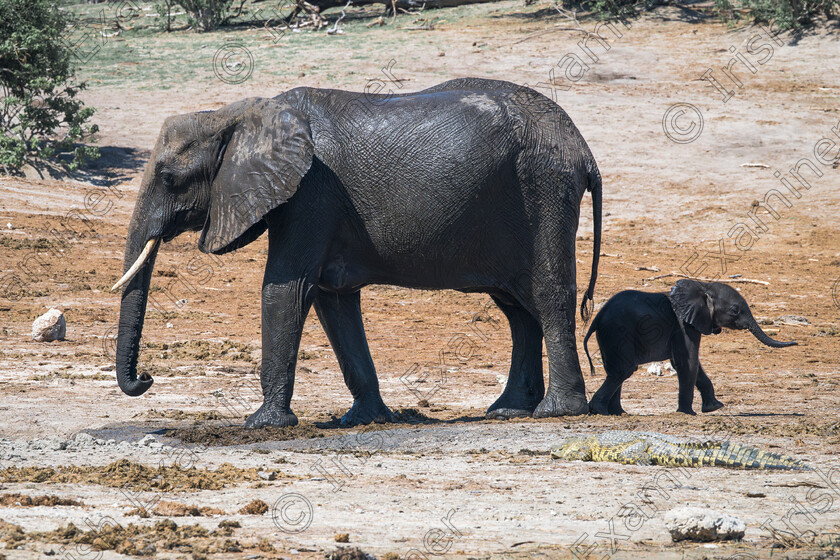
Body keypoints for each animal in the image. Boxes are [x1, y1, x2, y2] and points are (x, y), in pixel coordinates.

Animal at [111, 77, 600, 428]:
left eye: (169, 178)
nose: (147, 377)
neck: (238, 114)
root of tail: (583, 149)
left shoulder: (311, 194)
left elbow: (285, 289)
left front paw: (261, 425)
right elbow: (333, 302)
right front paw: (364, 420)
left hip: (543, 190)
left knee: (548, 296)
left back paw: (558, 411)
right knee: (516, 309)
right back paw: (508, 411)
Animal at [584, 280, 796, 416]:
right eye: (734, 311)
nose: (795, 342)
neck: (703, 286)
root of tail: (598, 316)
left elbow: (690, 363)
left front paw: (714, 407)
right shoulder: (683, 324)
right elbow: (687, 362)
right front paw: (688, 413)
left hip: (610, 336)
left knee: (615, 371)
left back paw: (618, 413)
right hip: (618, 332)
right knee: (624, 370)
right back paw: (599, 410)